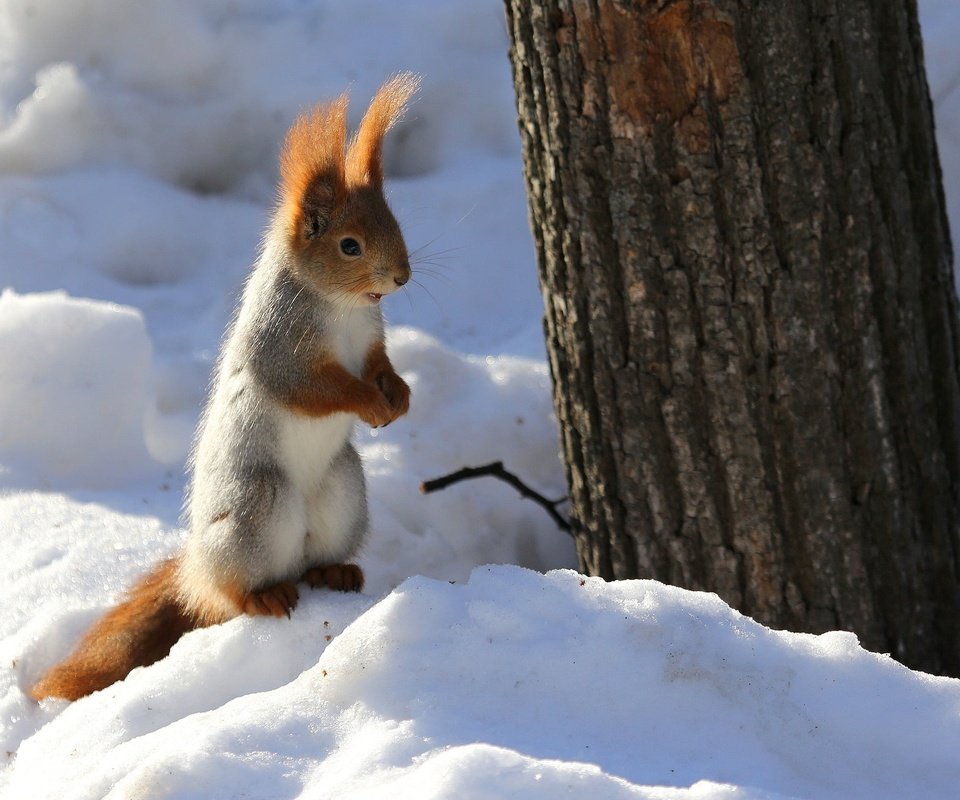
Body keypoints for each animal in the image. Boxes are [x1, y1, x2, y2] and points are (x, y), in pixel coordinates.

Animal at [30, 73, 418, 700]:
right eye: (350, 245)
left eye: (396, 224)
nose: (402, 277)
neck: (343, 308)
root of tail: (197, 568)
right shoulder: (279, 348)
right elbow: (313, 389)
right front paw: (368, 402)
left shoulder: (369, 342)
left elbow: (380, 363)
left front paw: (399, 395)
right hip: (256, 506)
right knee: (233, 595)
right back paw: (263, 595)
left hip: (343, 493)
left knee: (314, 559)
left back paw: (334, 570)